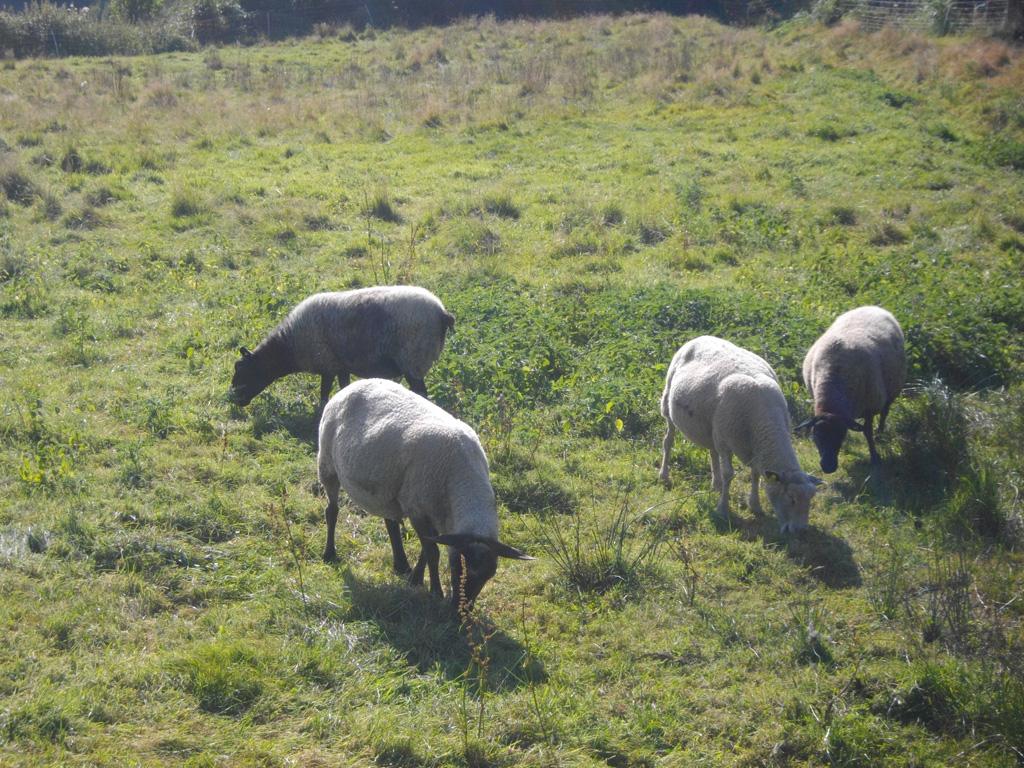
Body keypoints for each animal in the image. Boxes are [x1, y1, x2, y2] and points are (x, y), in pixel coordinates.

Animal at [234, 286, 458, 411]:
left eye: (246, 371)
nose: (234, 398)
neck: (289, 346)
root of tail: (442, 313)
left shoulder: (327, 364)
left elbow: (324, 392)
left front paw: (320, 413)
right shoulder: (340, 366)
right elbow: (343, 387)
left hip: (413, 358)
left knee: (422, 392)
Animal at [315, 376, 532, 606]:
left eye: (490, 575)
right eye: (456, 566)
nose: (459, 611)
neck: (463, 480)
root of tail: (355, 384)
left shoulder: (434, 513)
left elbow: (427, 549)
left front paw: (416, 579)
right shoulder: (418, 509)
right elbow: (432, 552)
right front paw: (436, 591)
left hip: (387, 487)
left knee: (390, 521)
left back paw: (401, 564)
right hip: (327, 464)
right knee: (332, 511)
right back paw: (329, 554)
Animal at [655, 335, 823, 536]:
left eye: (811, 498)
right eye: (791, 498)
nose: (801, 531)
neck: (764, 420)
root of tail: (699, 338)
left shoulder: (752, 447)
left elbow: (756, 474)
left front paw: (755, 505)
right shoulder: (726, 442)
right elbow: (729, 474)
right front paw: (723, 510)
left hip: (713, 428)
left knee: (712, 452)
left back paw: (716, 484)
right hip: (669, 406)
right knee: (668, 441)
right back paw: (664, 475)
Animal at [798, 307, 905, 475]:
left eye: (839, 435)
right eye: (815, 435)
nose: (828, 467)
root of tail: (873, 306)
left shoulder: (870, 406)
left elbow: (867, 432)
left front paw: (874, 457)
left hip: (892, 389)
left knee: (885, 412)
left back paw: (880, 433)